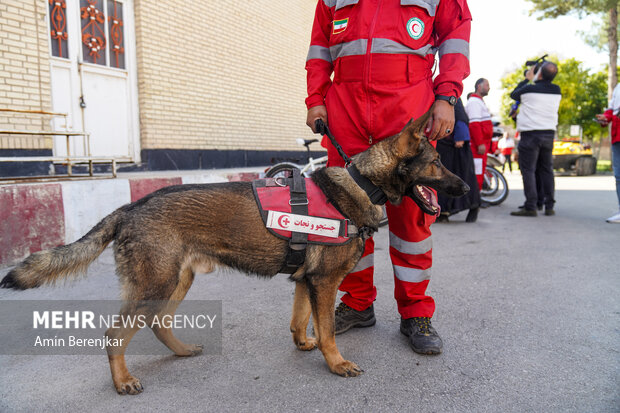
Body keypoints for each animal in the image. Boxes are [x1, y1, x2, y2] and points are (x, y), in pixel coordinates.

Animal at [0, 108, 464, 392]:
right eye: (437, 162)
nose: (461, 188)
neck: (362, 183)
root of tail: (131, 206)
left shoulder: (306, 282)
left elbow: (300, 321)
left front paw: (304, 344)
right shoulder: (324, 282)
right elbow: (328, 331)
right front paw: (336, 363)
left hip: (177, 282)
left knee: (157, 324)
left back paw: (181, 352)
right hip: (156, 285)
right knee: (116, 335)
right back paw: (122, 382)